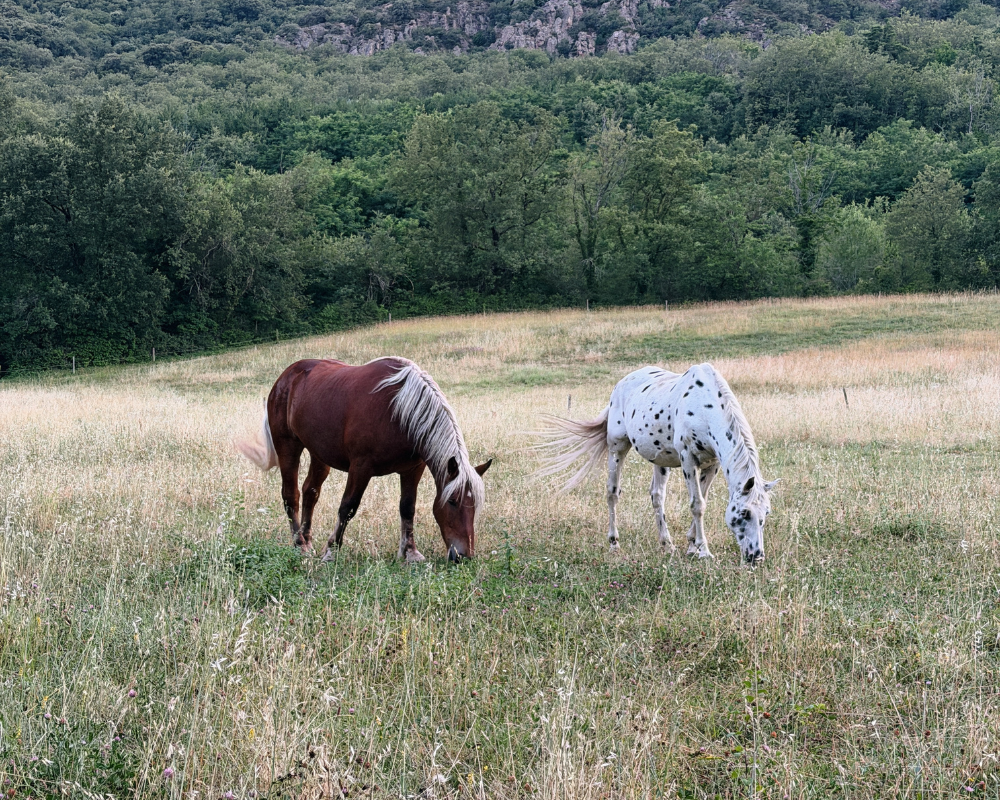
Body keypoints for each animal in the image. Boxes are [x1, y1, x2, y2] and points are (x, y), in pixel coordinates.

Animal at [238, 357, 492, 562]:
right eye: (453, 501)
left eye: (475, 505)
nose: (464, 556)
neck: (399, 410)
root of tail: (285, 377)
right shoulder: (361, 467)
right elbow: (347, 507)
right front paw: (331, 551)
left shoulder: (413, 469)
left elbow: (407, 507)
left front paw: (410, 552)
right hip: (288, 447)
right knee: (291, 496)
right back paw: (299, 545)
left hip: (319, 453)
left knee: (311, 492)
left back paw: (308, 541)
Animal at [537, 363, 777, 564]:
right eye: (744, 513)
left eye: (765, 513)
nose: (756, 557)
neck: (704, 406)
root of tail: (621, 384)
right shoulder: (688, 459)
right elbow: (697, 505)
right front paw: (703, 551)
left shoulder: (712, 464)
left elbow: (702, 500)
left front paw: (692, 547)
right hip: (617, 448)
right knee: (612, 493)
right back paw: (614, 542)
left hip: (660, 460)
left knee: (657, 496)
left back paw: (666, 544)